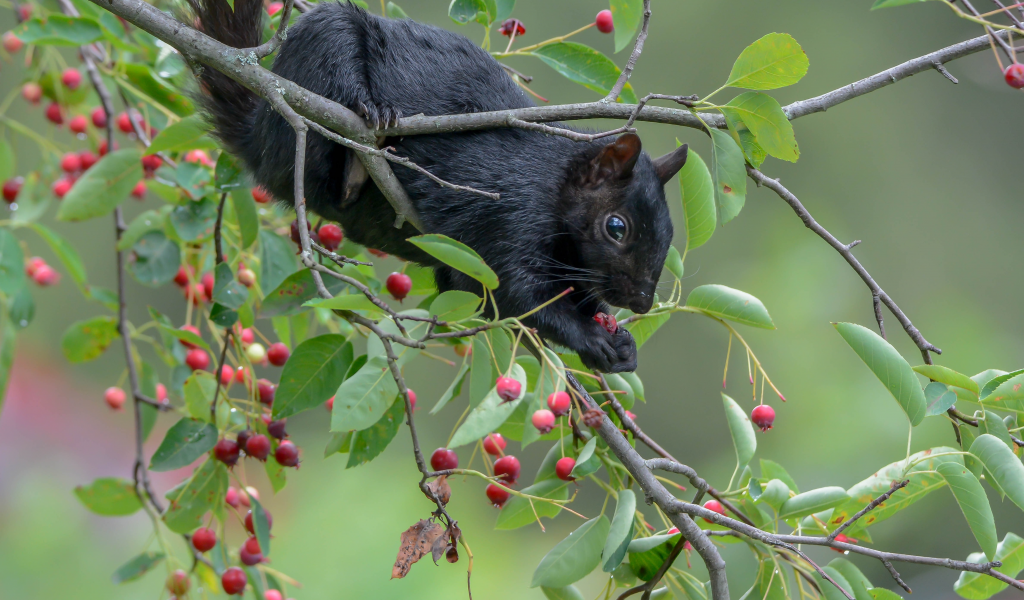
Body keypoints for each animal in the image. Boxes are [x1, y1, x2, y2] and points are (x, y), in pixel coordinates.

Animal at [192, 0, 688, 370]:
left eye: (669, 233)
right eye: (616, 227)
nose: (642, 303)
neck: (553, 183)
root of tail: (257, 135)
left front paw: (619, 341)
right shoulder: (509, 212)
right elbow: (513, 292)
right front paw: (590, 338)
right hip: (321, 58)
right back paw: (366, 136)